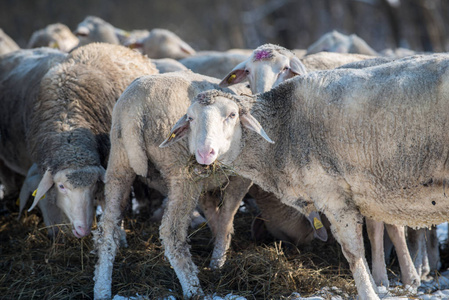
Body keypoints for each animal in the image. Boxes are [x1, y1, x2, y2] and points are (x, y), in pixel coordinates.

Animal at [161, 53, 449, 298]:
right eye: (190, 118)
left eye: (232, 115)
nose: (204, 153)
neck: (282, 128)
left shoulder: (334, 196)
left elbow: (354, 253)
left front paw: (370, 293)